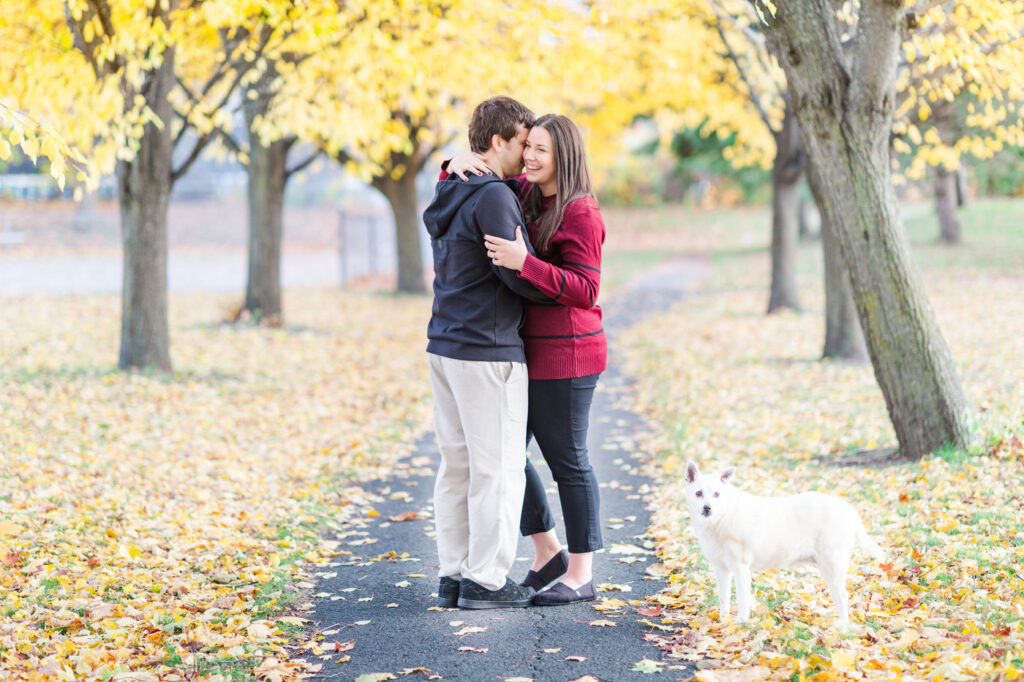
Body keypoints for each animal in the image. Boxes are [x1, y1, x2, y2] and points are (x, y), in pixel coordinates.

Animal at [684, 458, 884, 622]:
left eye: (717, 494)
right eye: (698, 493)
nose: (707, 508)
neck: (723, 515)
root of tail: (848, 510)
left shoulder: (740, 568)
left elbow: (742, 599)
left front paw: (740, 622)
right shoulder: (721, 568)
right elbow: (723, 596)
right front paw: (723, 620)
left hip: (832, 564)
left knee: (842, 597)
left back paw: (841, 628)